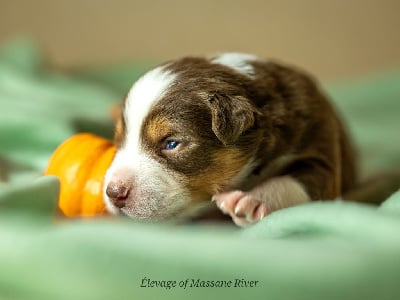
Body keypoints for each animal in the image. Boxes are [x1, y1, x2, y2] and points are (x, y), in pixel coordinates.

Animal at [103, 54, 356, 226]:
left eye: (171, 144)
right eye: (118, 140)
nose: (114, 193)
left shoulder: (320, 144)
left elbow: (294, 181)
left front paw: (252, 200)